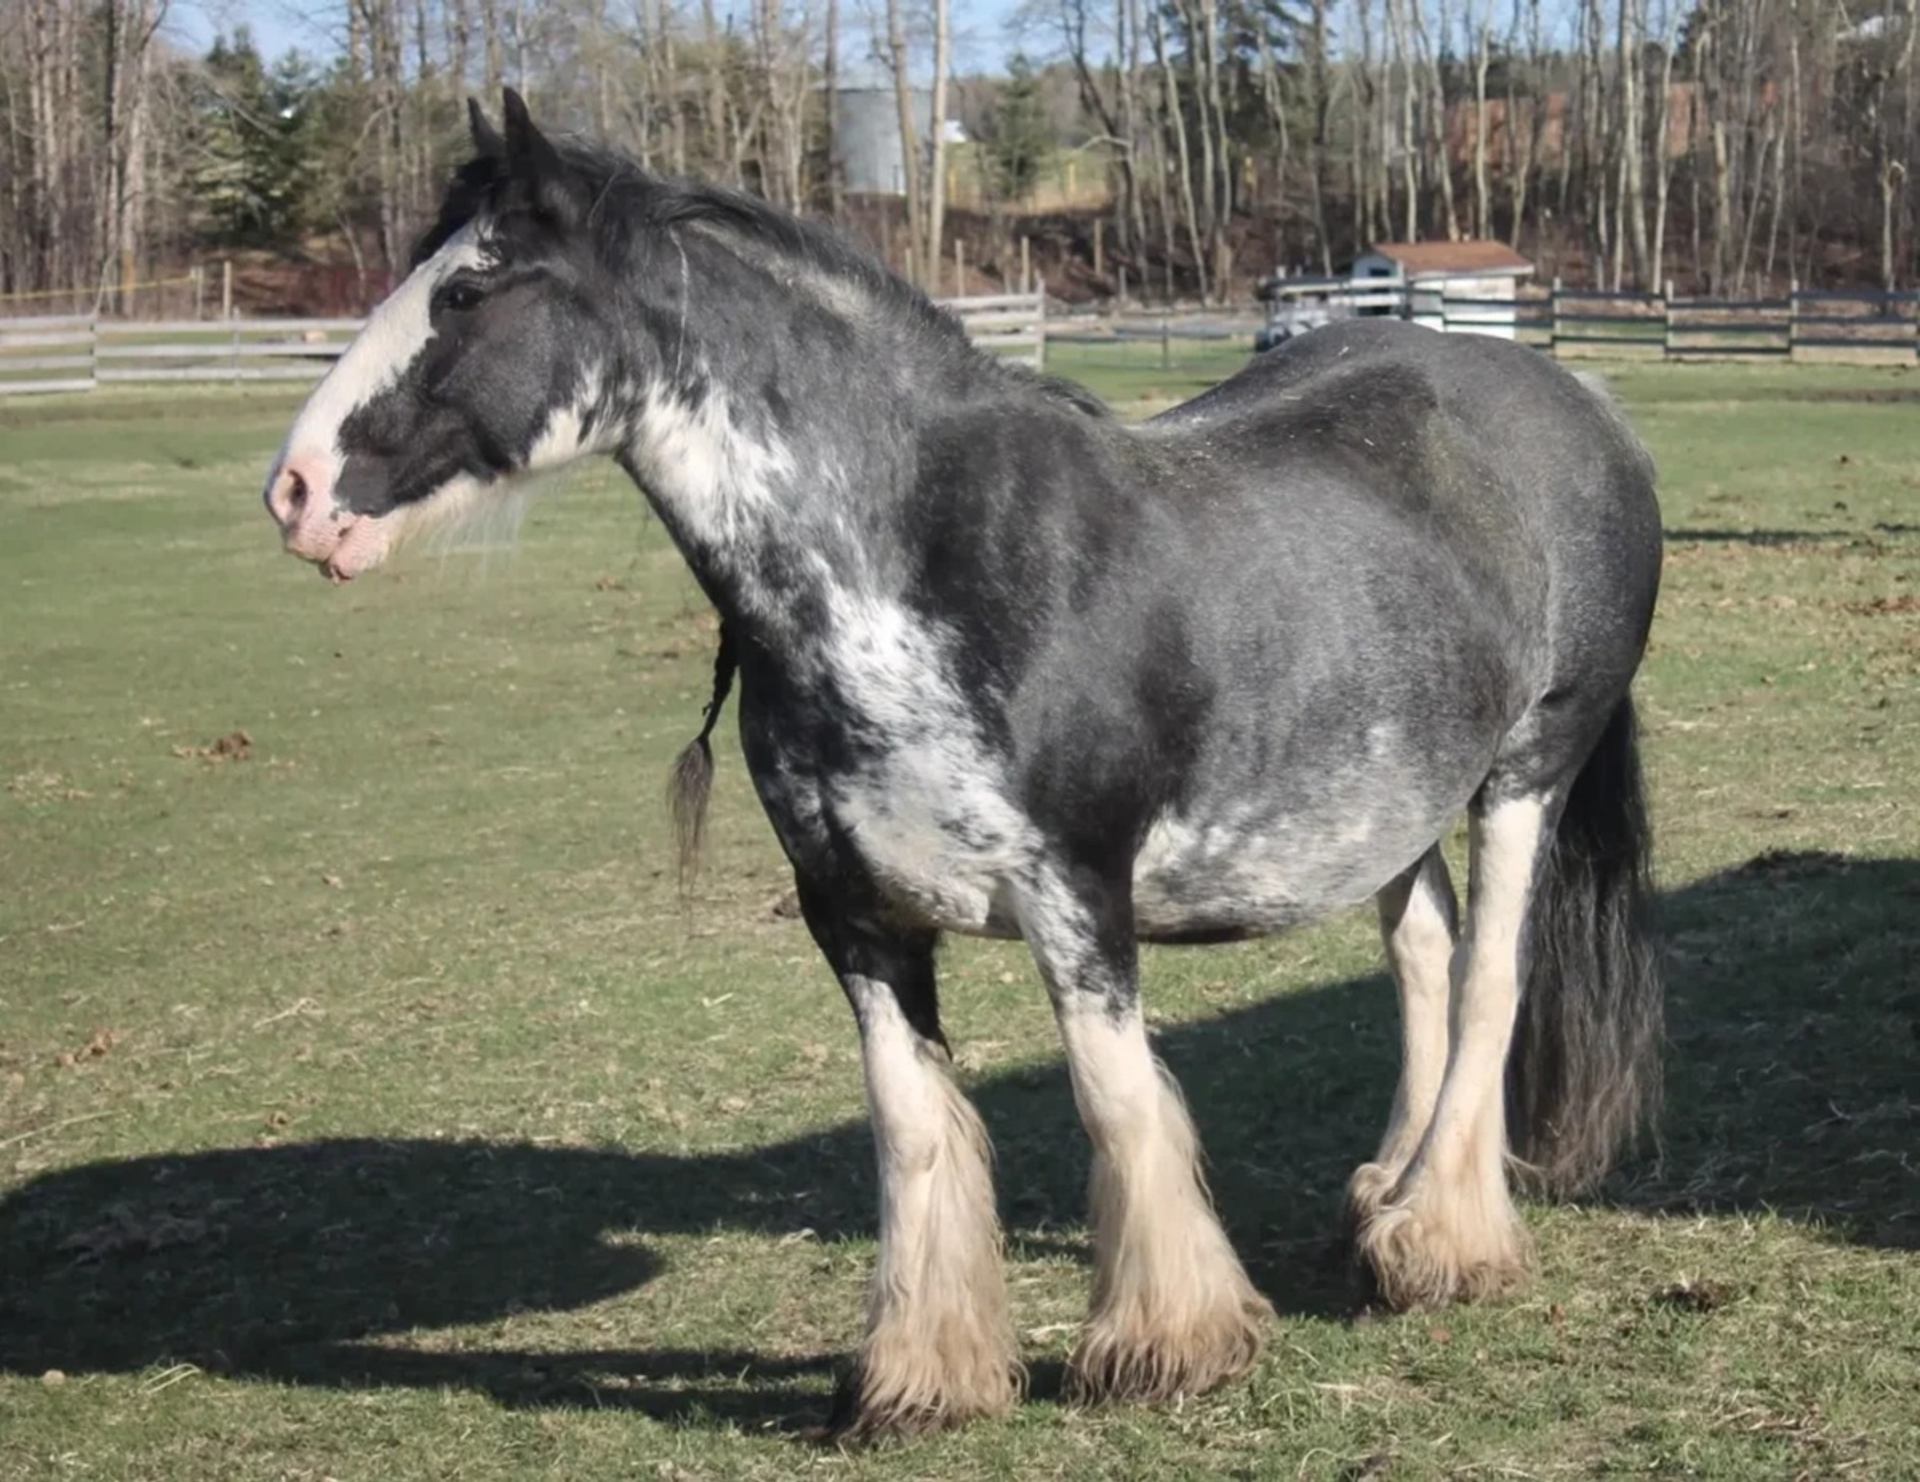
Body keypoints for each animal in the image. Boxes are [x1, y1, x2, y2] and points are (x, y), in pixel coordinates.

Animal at [261, 90, 1663, 1440]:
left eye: (469, 290)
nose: (295, 492)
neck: (925, 565)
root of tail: (1576, 400)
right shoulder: (855, 918)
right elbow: (914, 1128)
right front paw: (920, 1380)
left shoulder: (1078, 895)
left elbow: (1116, 1098)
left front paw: (1168, 1346)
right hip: (1389, 803)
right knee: (1424, 953)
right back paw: (1388, 1198)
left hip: (1524, 772)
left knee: (1487, 978)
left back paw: (1442, 1242)